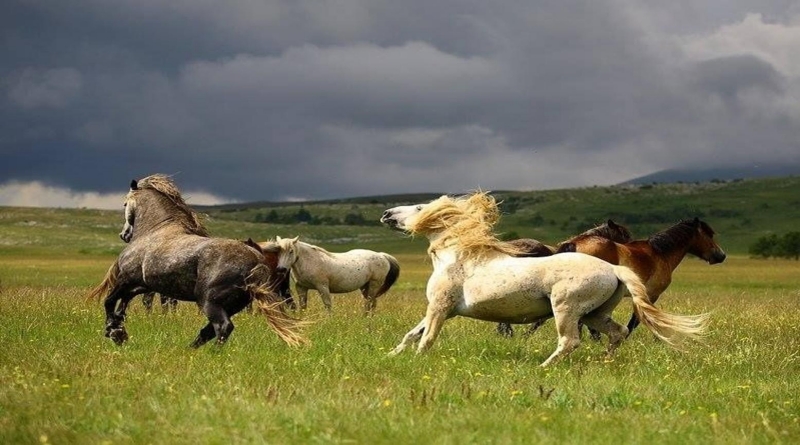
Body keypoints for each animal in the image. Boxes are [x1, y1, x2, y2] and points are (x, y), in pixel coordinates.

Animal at [88, 173, 306, 346]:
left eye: (125, 203)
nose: (124, 234)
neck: (155, 231)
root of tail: (255, 261)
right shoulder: (141, 285)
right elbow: (122, 305)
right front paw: (118, 329)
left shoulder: (127, 279)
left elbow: (109, 301)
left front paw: (114, 332)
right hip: (233, 304)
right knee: (209, 331)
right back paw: (190, 350)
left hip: (210, 302)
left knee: (222, 327)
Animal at [556, 217, 724, 334]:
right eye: (709, 234)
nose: (721, 255)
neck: (660, 254)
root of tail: (574, 244)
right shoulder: (651, 295)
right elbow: (638, 321)